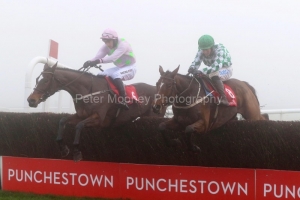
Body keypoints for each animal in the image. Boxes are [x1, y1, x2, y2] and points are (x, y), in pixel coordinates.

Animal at [27, 62, 165, 161]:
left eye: (45, 80)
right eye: (37, 79)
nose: (31, 100)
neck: (88, 90)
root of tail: (157, 90)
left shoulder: (99, 119)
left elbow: (79, 125)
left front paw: (77, 152)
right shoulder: (80, 115)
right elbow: (62, 120)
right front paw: (63, 148)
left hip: (154, 116)